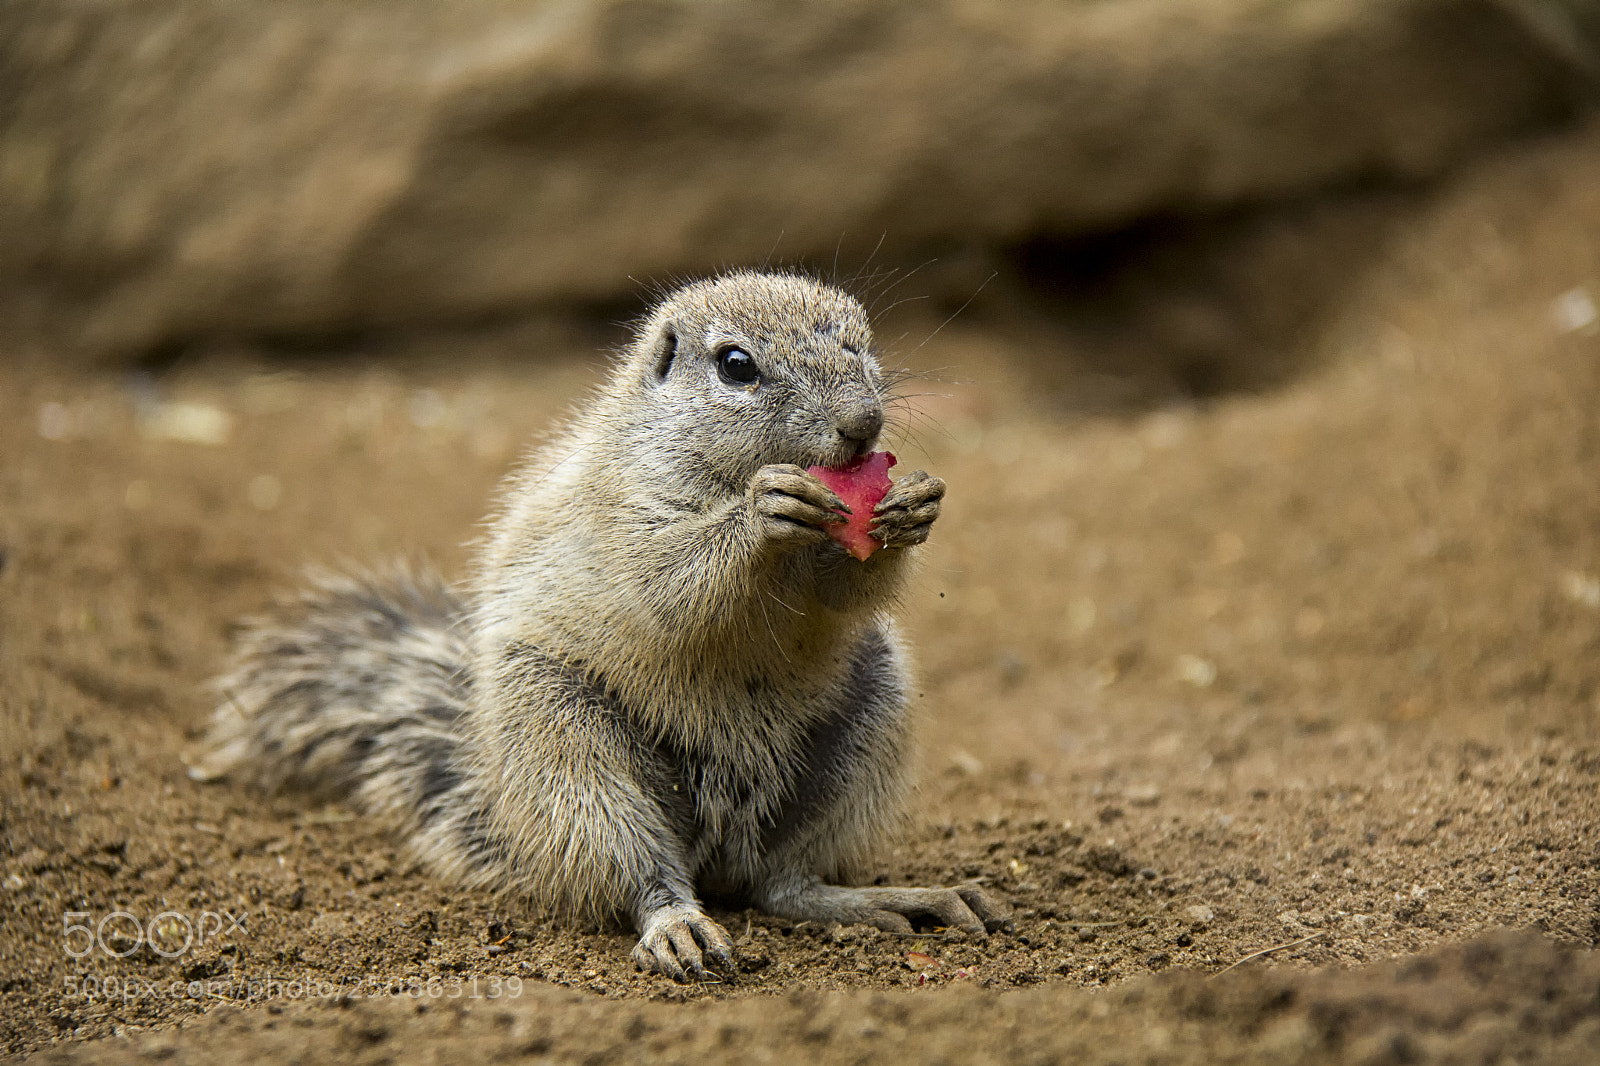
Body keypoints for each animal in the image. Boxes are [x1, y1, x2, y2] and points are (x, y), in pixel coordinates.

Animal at [190, 271, 1007, 980]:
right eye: (735, 366)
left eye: (859, 341)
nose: (863, 424)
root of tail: (720, 844)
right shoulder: (620, 515)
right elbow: (668, 582)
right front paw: (759, 513)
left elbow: (846, 590)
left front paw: (911, 506)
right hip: (568, 751)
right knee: (643, 873)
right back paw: (676, 925)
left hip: (868, 722)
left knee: (785, 884)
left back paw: (889, 898)